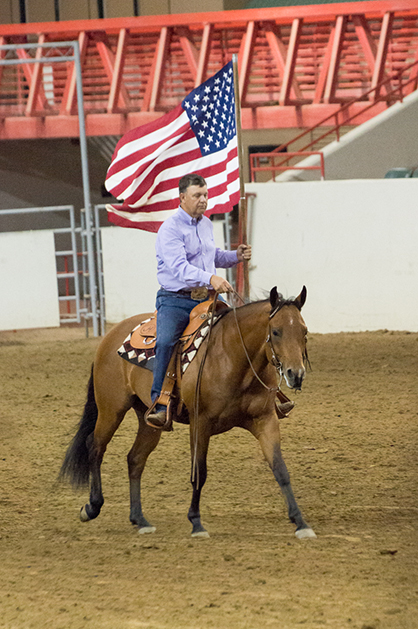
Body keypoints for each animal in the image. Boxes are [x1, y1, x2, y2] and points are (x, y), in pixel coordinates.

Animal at [60, 288, 316, 536]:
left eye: (304, 331)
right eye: (276, 331)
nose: (296, 374)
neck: (233, 357)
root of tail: (109, 338)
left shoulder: (265, 419)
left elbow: (280, 469)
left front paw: (300, 522)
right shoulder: (200, 422)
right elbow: (199, 472)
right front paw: (196, 523)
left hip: (149, 420)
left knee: (135, 459)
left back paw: (140, 520)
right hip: (111, 409)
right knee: (95, 446)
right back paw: (92, 507)